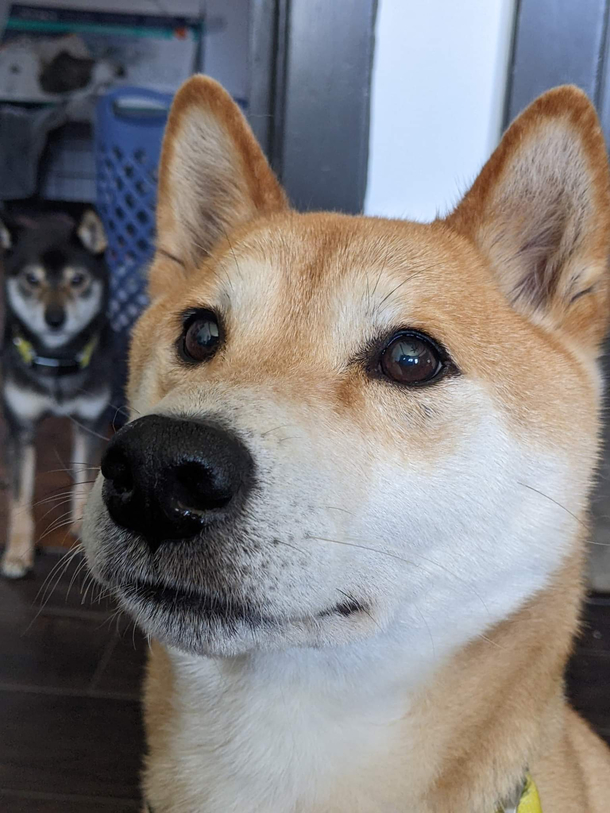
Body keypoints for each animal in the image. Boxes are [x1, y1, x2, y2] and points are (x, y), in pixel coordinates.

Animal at [0, 209, 111, 576]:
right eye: (31, 280)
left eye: (77, 280)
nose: (54, 319)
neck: (57, 361)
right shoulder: (20, 429)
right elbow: (20, 498)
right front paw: (17, 553)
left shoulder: (91, 423)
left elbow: (84, 479)